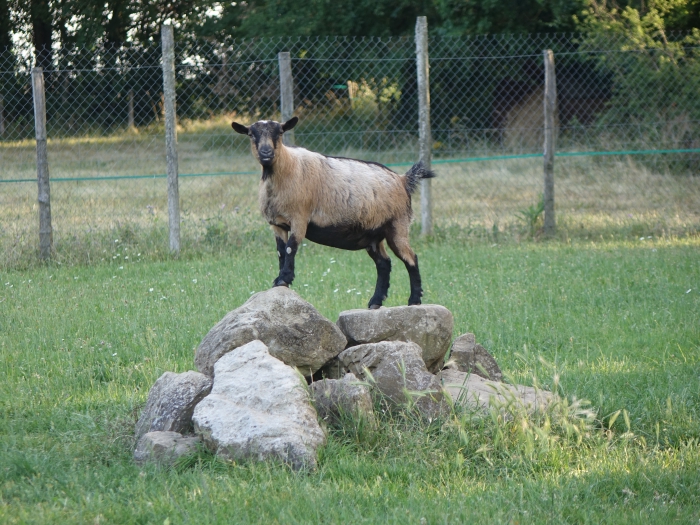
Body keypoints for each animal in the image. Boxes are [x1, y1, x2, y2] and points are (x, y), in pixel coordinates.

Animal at [231, 117, 435, 309]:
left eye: (280, 132)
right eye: (251, 134)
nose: (266, 153)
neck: (286, 168)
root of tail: (402, 179)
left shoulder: (299, 218)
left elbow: (291, 248)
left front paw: (284, 278)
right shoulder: (277, 224)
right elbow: (281, 251)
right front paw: (280, 282)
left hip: (397, 225)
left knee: (411, 259)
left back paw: (414, 300)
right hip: (373, 235)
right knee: (384, 263)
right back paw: (376, 301)